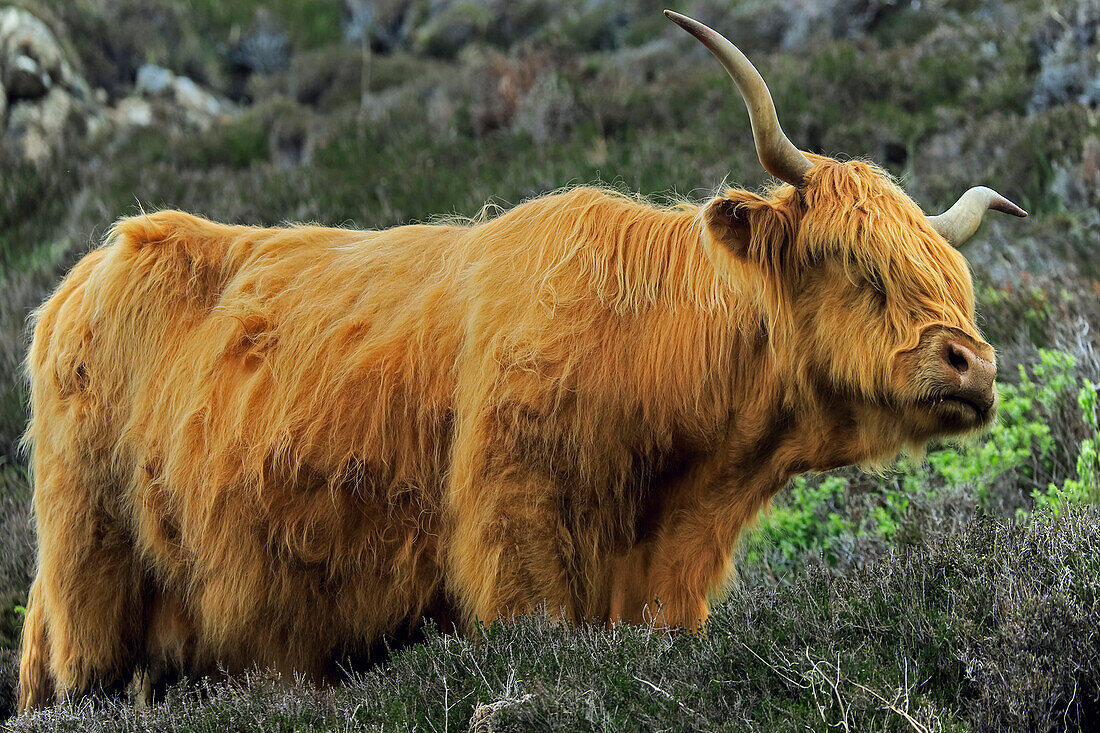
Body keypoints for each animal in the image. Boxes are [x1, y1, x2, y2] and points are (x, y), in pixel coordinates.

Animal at [17, 11, 1025, 708]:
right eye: (856, 262)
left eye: (952, 277)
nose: (972, 366)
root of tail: (96, 261)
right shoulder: (519, 555)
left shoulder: (667, 590)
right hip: (93, 597)